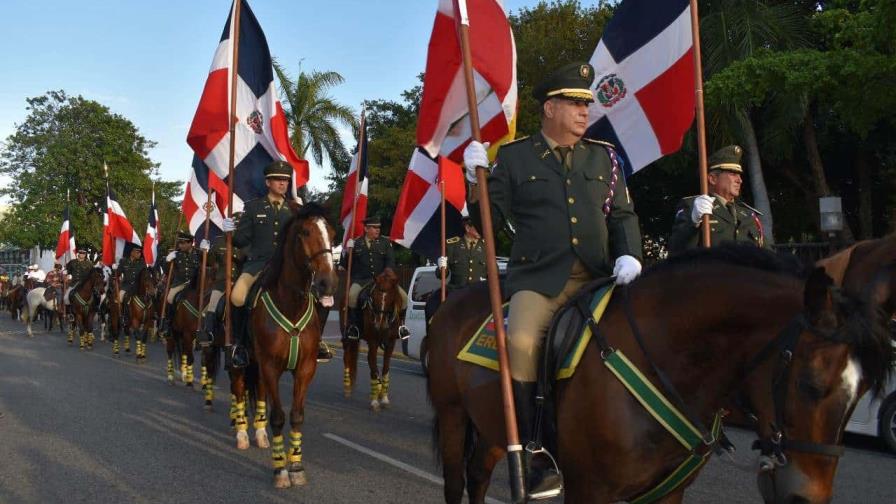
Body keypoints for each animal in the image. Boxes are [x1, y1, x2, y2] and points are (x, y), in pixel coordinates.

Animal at [247, 202, 338, 488]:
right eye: (306, 232)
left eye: (332, 233)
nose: (328, 283)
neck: (291, 304)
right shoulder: (270, 366)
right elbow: (278, 417)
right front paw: (280, 469)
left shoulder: (305, 368)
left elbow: (297, 416)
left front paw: (296, 465)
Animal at [342, 268, 400, 410]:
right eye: (375, 297)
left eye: (390, 298)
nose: (379, 324)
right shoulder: (373, 341)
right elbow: (374, 368)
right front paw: (374, 400)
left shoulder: (390, 343)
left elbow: (385, 368)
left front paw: (383, 397)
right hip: (348, 338)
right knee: (347, 358)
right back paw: (347, 387)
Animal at [426, 243, 888, 500]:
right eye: (810, 384)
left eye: (862, 394)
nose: (806, 497)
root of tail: (454, 298)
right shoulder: (589, 489)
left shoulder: (667, 493)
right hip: (452, 414)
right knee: (455, 482)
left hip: (492, 426)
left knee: (478, 475)